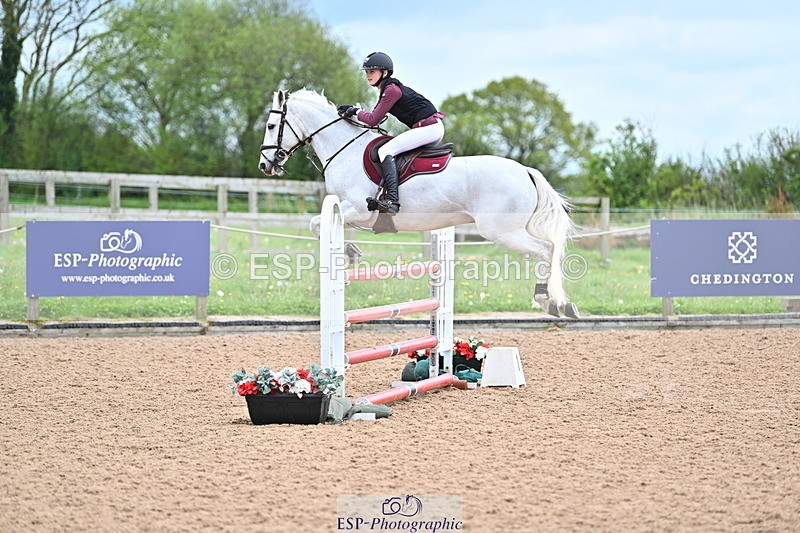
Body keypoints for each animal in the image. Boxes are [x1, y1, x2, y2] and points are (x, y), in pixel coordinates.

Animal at [258, 89, 579, 318]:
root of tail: (525, 171)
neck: (344, 150)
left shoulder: (360, 210)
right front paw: (351, 253)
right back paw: (560, 304)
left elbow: (316, 224)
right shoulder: (350, 212)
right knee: (548, 250)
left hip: (502, 231)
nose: (265, 165)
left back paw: (548, 301)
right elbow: (326, 227)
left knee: (545, 250)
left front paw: (349, 256)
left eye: (272, 125)